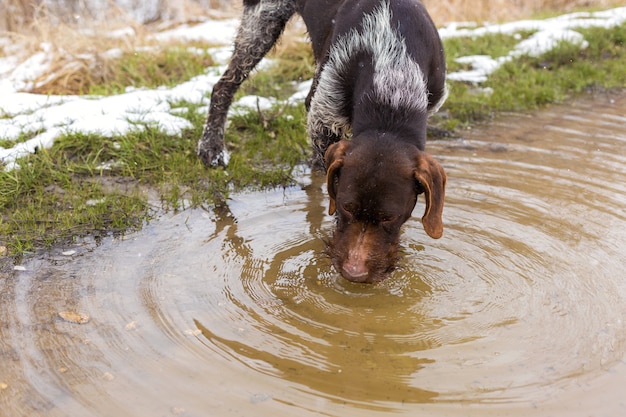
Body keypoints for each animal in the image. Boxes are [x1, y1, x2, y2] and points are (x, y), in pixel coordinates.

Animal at [197, 0, 446, 282]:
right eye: (347, 208)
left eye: (389, 218)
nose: (354, 272)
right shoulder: (325, 114)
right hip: (261, 25)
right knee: (223, 87)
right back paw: (212, 148)